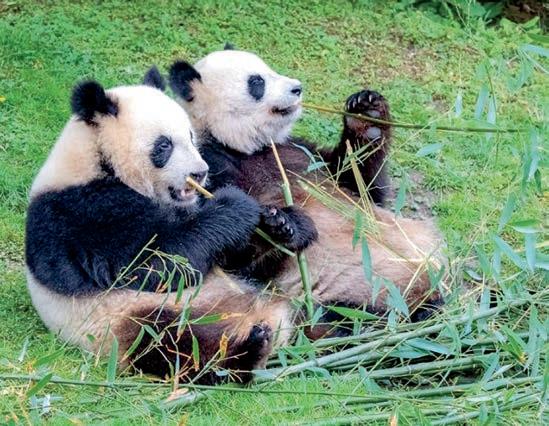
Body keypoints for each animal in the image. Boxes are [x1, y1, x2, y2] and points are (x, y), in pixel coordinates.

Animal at [24, 79, 301, 384]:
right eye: (164, 145)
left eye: (192, 137)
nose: (200, 173)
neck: (96, 160)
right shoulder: (81, 215)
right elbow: (158, 262)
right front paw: (235, 205)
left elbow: (229, 258)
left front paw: (279, 225)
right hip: (129, 321)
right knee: (173, 343)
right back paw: (246, 352)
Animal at [164, 48, 447, 332]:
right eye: (257, 82)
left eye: (270, 69)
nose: (297, 88)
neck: (245, 147)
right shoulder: (208, 170)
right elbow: (232, 254)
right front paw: (281, 226)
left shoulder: (304, 153)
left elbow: (362, 186)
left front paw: (368, 115)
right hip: (345, 303)